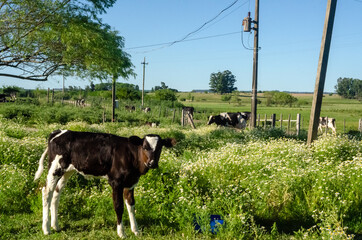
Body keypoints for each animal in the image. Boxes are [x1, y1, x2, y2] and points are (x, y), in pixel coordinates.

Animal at [34, 130, 176, 239]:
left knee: (56, 193)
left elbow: (131, 206)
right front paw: (121, 233)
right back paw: (46, 229)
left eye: (160, 148)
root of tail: (58, 132)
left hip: (68, 171)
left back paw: (56, 226)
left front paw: (136, 230)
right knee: (46, 192)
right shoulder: (116, 182)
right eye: (145, 147)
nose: (152, 163)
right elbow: (119, 207)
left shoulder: (130, 183)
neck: (132, 157)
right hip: (55, 167)